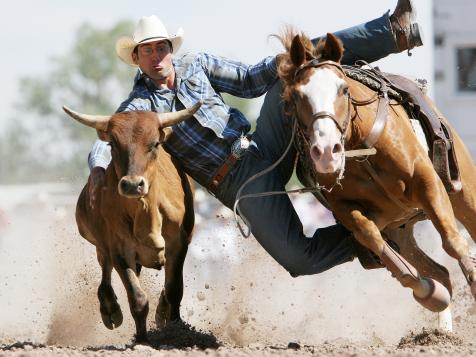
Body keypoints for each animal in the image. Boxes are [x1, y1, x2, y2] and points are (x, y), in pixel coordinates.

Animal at [276, 29, 476, 314]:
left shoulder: (427, 182)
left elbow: (453, 241)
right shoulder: (345, 208)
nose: (326, 151)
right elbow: (370, 235)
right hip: (401, 229)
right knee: (439, 272)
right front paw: (427, 291)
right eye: (296, 96)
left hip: (464, 194)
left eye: (343, 89)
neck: (360, 150)